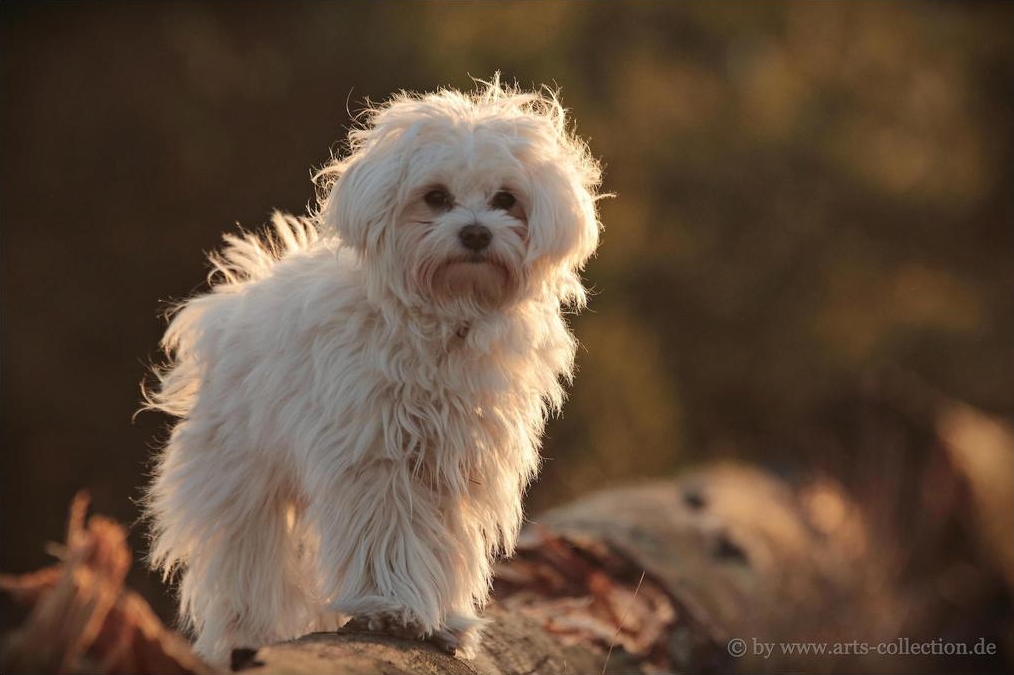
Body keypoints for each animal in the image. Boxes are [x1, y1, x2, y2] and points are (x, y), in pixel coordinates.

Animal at [142, 80, 600, 660]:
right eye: (436, 197)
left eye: (506, 199)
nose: (476, 233)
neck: (446, 317)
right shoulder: (377, 456)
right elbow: (388, 533)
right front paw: (392, 609)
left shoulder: (453, 463)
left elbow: (444, 544)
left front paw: (445, 620)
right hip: (240, 475)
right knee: (248, 559)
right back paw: (245, 635)